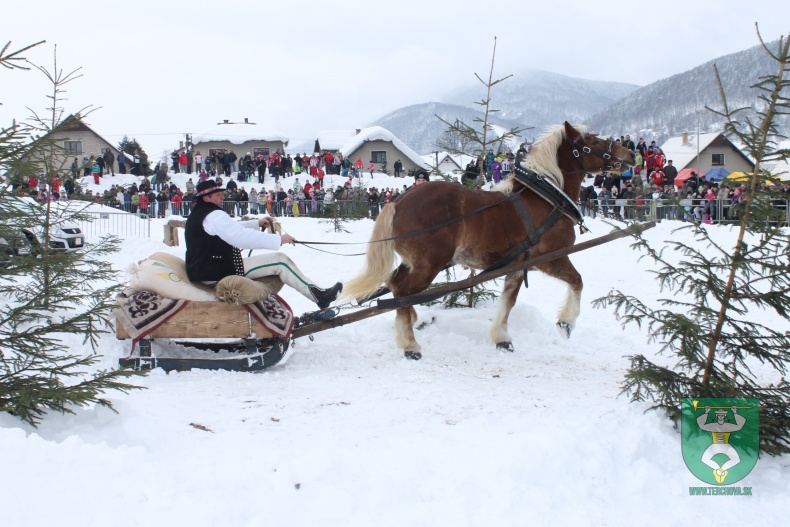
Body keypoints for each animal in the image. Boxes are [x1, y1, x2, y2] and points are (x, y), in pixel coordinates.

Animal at [344, 121, 636, 358]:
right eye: (593, 141)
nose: (630, 154)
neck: (546, 198)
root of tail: (398, 200)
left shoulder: (517, 265)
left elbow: (508, 300)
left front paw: (502, 338)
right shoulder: (550, 258)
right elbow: (577, 281)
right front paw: (566, 323)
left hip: (415, 262)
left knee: (395, 285)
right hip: (428, 264)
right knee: (403, 291)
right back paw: (410, 345)